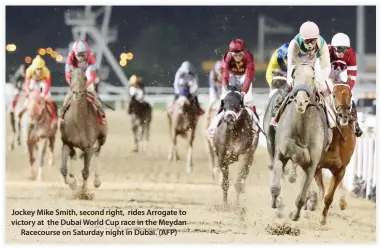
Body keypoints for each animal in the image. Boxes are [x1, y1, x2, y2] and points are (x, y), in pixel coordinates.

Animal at [59, 67, 107, 199]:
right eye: (71, 77)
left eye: (85, 78)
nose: (77, 93)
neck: (79, 121)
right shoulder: (66, 143)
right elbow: (63, 169)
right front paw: (73, 184)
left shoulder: (89, 147)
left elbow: (85, 172)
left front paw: (84, 192)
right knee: (74, 156)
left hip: (102, 138)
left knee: (98, 152)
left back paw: (97, 181)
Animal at [266, 62, 328, 221]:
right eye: (294, 76)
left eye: (312, 77)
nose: (300, 102)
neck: (301, 131)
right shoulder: (281, 154)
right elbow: (275, 187)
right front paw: (277, 205)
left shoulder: (312, 164)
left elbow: (301, 197)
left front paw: (295, 214)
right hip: (271, 144)